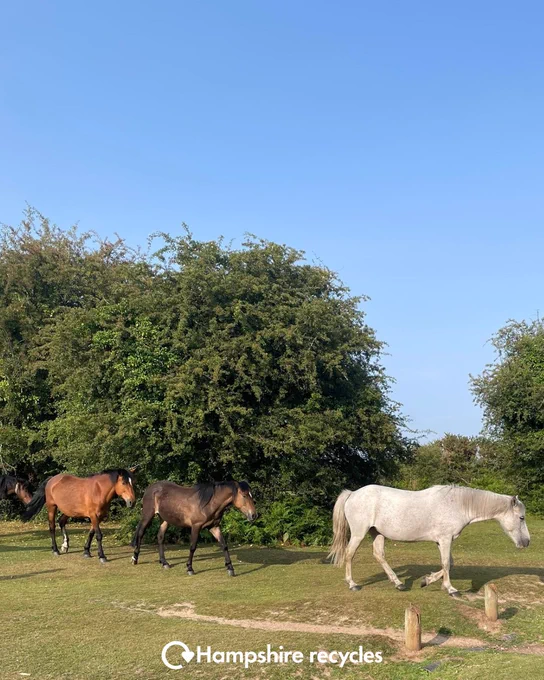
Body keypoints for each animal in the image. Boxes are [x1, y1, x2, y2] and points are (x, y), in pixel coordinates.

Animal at [329, 484, 530, 597]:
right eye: (521, 518)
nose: (527, 542)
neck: (457, 504)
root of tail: (353, 493)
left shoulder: (442, 541)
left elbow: (449, 563)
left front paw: (427, 580)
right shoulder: (445, 539)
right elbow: (446, 563)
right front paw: (451, 589)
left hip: (376, 533)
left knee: (379, 555)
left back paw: (399, 584)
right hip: (359, 533)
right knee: (349, 554)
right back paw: (353, 584)